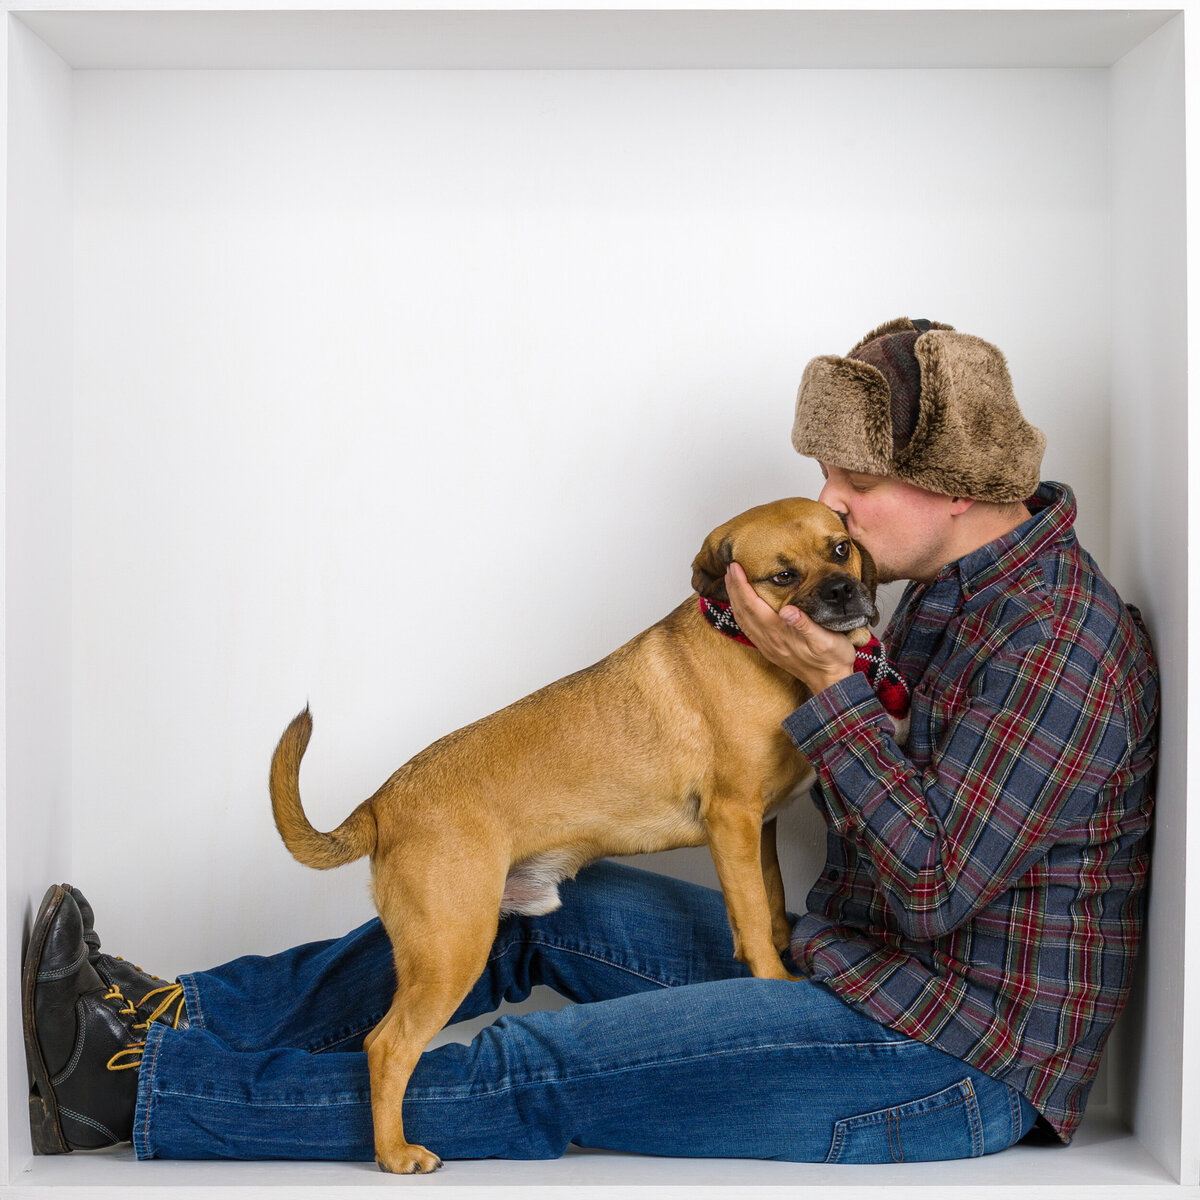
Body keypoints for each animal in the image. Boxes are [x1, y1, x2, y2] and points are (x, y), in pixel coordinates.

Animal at [270, 494, 873, 1171]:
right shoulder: (734, 819)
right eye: (782, 576)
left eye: (841, 548)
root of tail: (380, 803)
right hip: (452, 949)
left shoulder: (760, 828)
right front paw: (774, 985)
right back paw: (396, 1153)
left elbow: (769, 905)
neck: (747, 645)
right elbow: (752, 919)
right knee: (387, 1047)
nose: (845, 592)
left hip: (436, 944)